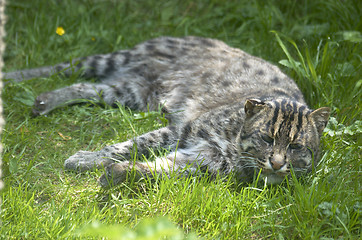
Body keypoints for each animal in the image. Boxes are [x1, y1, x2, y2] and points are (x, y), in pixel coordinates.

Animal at [3, 36, 330, 188]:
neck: (235, 145)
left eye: (296, 146)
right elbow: (131, 144)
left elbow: (158, 168)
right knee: (65, 67)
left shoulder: (202, 160)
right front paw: (87, 159)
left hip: (132, 92)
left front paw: (119, 173)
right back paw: (13, 78)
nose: (277, 164)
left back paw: (44, 100)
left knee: (88, 87)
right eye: (266, 138)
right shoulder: (183, 130)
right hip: (115, 61)